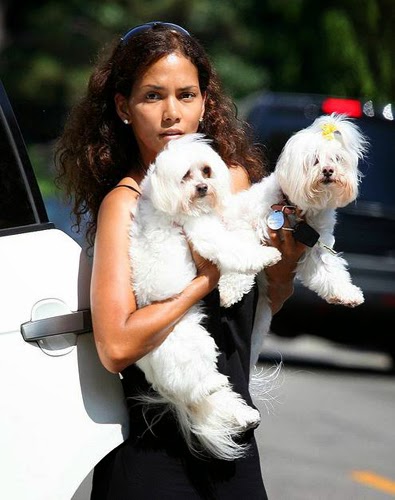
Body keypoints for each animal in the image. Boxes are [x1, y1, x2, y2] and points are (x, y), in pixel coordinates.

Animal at [130, 134, 282, 460]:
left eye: (206, 171)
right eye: (185, 176)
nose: (202, 188)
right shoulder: (205, 235)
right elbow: (235, 249)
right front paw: (265, 255)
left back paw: (243, 414)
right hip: (191, 346)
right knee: (199, 387)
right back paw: (214, 386)